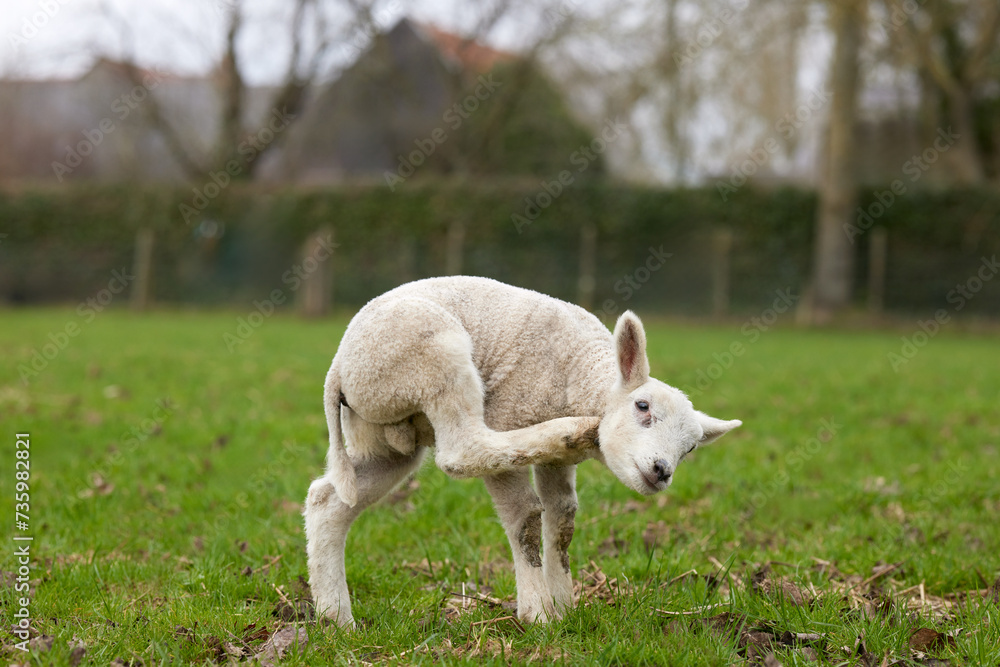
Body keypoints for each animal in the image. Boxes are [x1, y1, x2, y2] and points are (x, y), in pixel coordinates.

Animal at [304, 276, 741, 627]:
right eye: (643, 406)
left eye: (689, 448)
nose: (662, 470)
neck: (582, 376)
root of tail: (338, 367)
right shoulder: (508, 413)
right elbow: (525, 518)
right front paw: (539, 613)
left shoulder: (558, 465)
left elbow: (563, 520)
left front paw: (564, 606)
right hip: (432, 356)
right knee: (463, 450)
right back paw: (569, 431)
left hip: (382, 434)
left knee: (328, 500)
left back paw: (336, 619)